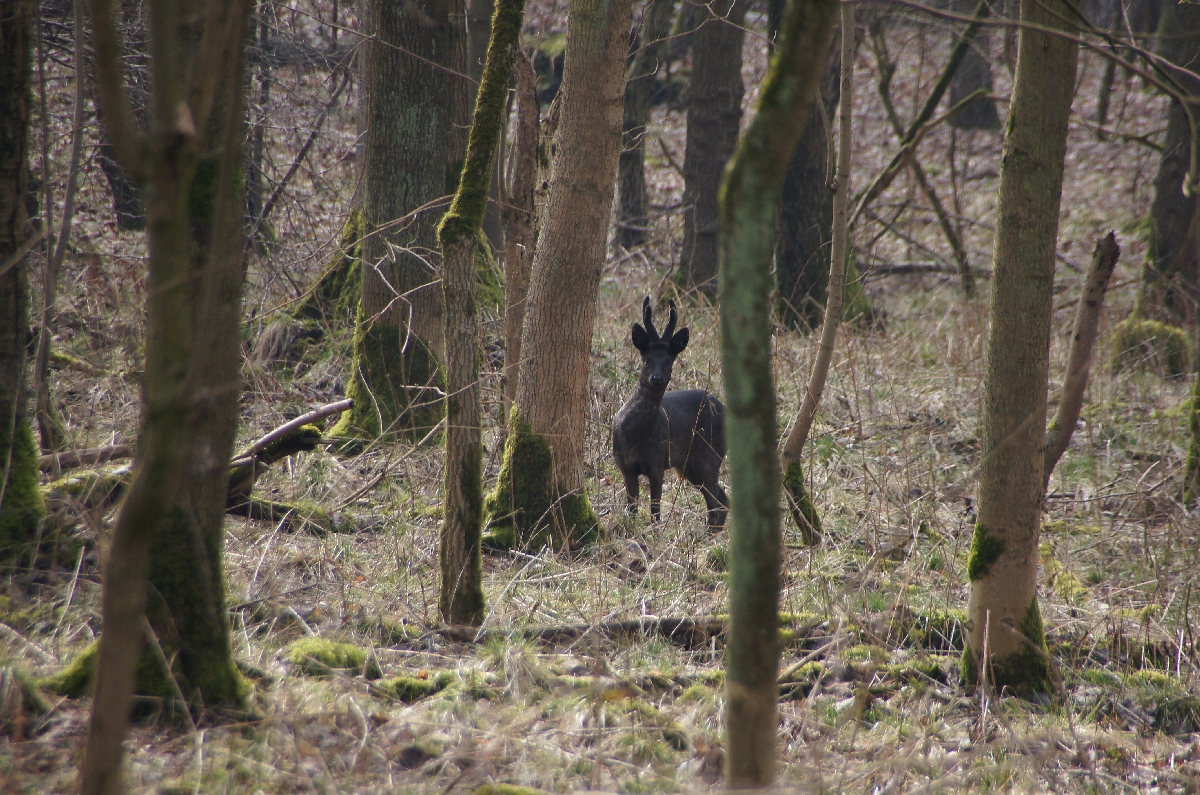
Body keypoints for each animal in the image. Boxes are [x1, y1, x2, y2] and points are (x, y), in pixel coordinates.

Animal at [614, 299, 724, 528]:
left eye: (668, 361)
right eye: (647, 359)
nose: (657, 378)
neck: (635, 436)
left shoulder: (657, 463)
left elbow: (655, 512)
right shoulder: (625, 466)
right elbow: (632, 510)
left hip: (709, 456)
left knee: (716, 504)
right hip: (689, 465)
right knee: (722, 499)